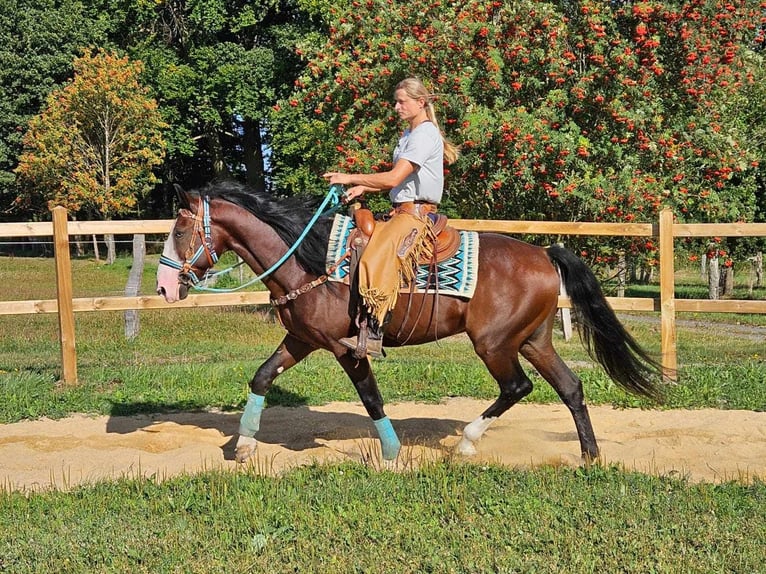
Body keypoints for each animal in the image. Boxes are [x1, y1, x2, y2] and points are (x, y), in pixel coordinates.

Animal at [156, 182, 664, 466]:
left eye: (180, 231)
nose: (163, 287)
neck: (310, 259)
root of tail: (543, 252)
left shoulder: (345, 347)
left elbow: (371, 397)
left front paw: (391, 451)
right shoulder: (301, 338)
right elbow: (262, 376)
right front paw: (243, 446)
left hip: (495, 344)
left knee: (518, 387)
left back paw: (467, 443)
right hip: (534, 340)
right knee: (571, 387)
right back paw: (589, 456)